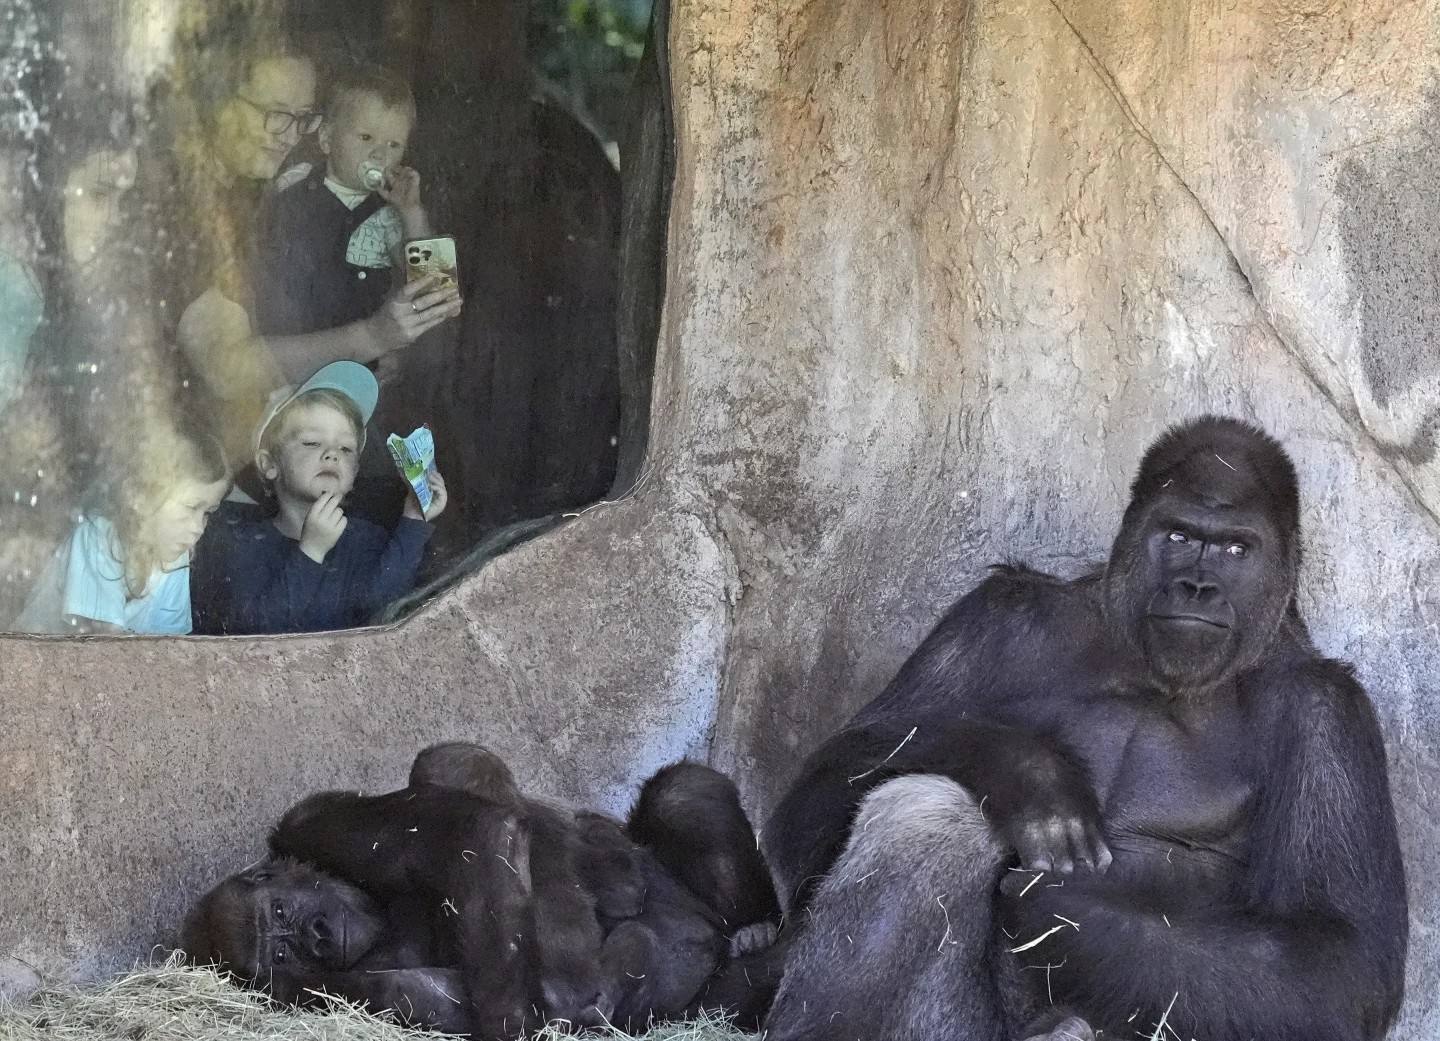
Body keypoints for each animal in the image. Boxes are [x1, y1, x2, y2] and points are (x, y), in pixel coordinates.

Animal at [188, 742, 789, 1036]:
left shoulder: (309, 823)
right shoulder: (315, 993)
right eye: (279, 952)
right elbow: (425, 996)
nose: (314, 935)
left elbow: (470, 833)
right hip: (712, 1000)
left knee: (680, 794)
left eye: (282, 910)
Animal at [766, 417, 1405, 1041]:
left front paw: (1058, 909)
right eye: (1178, 537)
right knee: (926, 808)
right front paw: (1031, 776)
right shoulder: (1003, 613)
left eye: (1234, 548)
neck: (1151, 674)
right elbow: (820, 800)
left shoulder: (1328, 715)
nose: (1197, 588)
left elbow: (1339, 957)